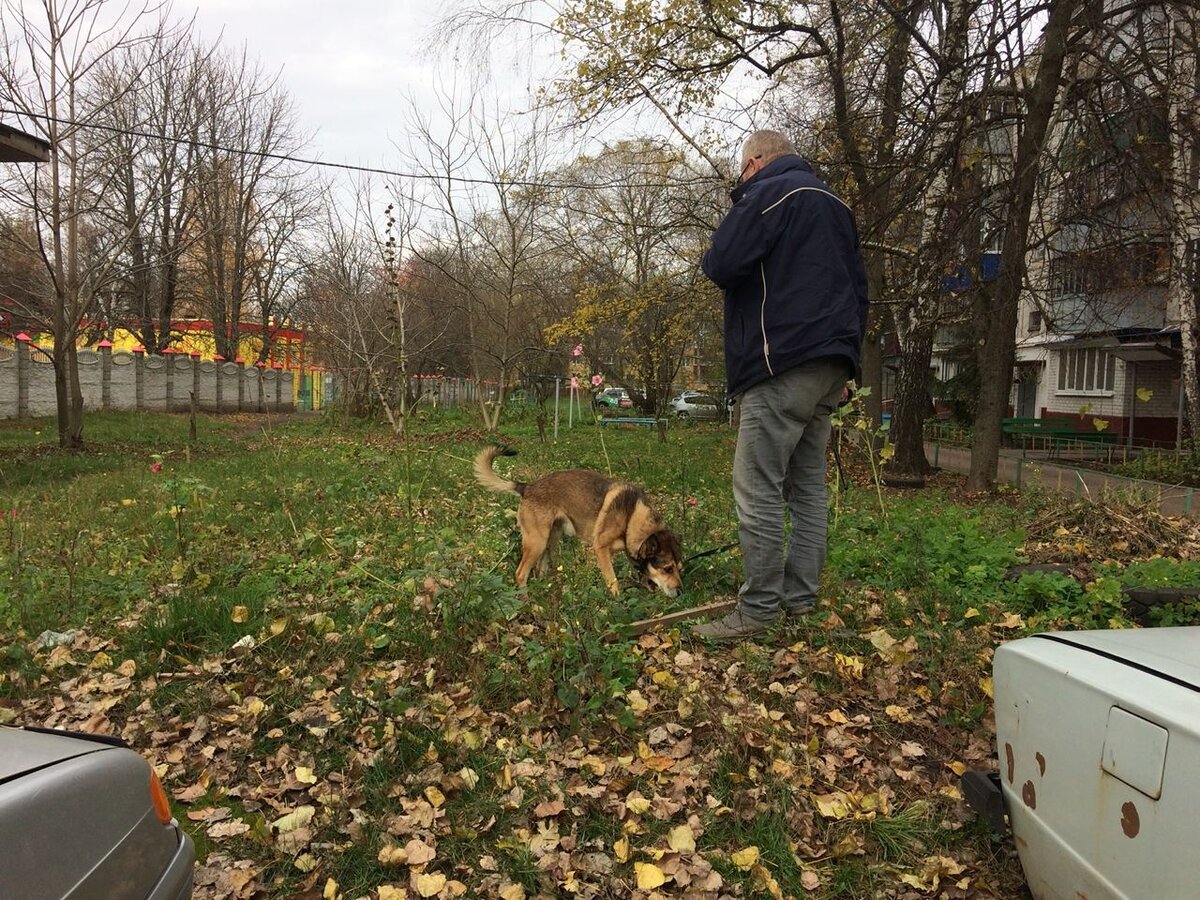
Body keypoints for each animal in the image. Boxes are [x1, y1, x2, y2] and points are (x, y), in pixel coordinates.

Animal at [475, 444, 686, 600]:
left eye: (679, 568)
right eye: (667, 569)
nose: (681, 592)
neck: (631, 516)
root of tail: (527, 487)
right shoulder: (601, 549)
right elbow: (613, 581)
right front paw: (616, 601)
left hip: (550, 541)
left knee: (538, 571)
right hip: (537, 542)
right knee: (520, 574)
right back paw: (526, 601)